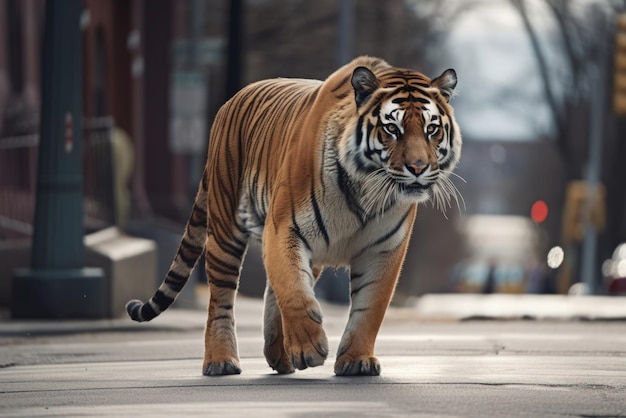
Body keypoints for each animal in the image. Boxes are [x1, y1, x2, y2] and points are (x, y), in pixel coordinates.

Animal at [127, 54, 460, 376]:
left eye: (431, 129)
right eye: (392, 129)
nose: (418, 168)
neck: (367, 189)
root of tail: (229, 102)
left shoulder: (384, 249)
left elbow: (370, 307)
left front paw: (356, 360)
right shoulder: (284, 229)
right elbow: (292, 289)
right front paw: (310, 347)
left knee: (271, 294)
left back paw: (279, 356)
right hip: (224, 230)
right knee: (221, 300)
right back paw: (221, 361)